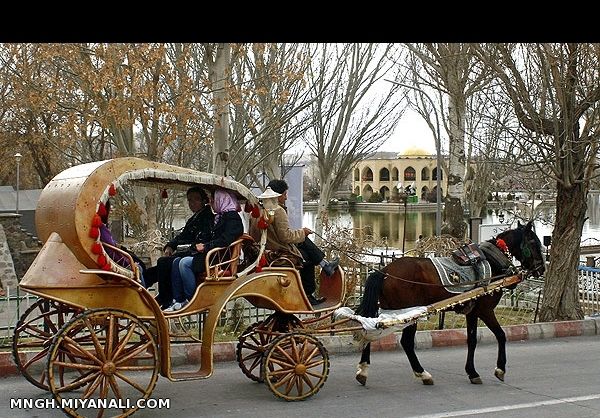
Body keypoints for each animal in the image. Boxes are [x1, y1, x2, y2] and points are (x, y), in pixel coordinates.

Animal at [356, 220, 548, 386]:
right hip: (409, 313)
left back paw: (363, 370)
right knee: (407, 342)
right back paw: (422, 373)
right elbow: (501, 335)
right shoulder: (485, 310)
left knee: (371, 331)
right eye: (533, 241)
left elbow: (472, 340)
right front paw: (500, 369)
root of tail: (384, 271)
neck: (493, 262)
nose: (541, 268)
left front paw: (472, 372)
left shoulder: (473, 312)